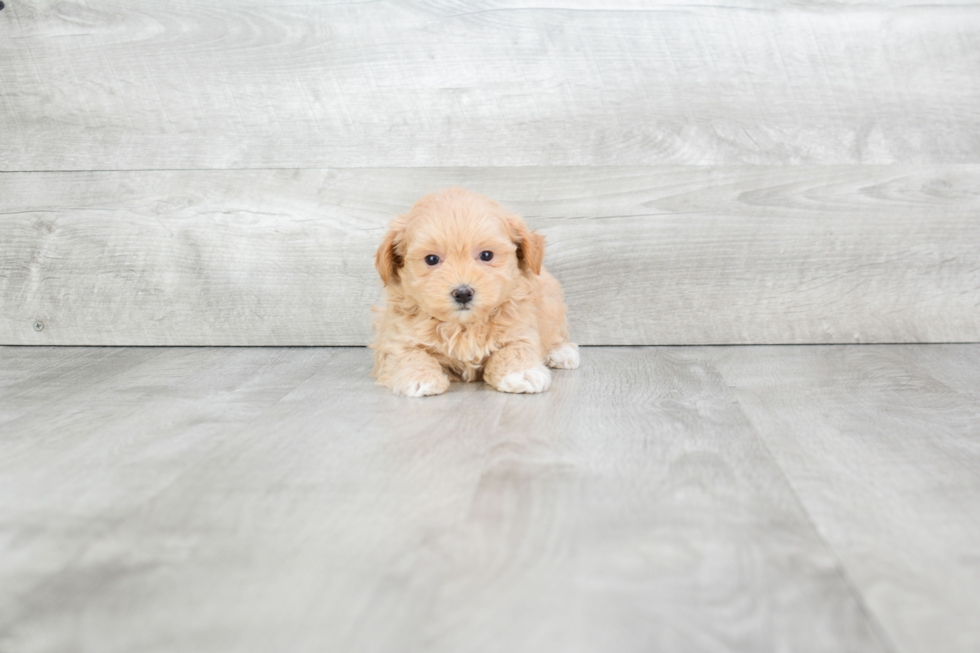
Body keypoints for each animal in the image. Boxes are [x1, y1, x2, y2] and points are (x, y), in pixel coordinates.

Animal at [372, 186, 580, 394]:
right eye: (431, 259)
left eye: (486, 255)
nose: (463, 293)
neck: (464, 326)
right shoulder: (396, 337)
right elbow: (409, 353)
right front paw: (419, 377)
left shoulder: (520, 328)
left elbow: (515, 349)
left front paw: (521, 372)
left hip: (552, 304)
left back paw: (562, 352)